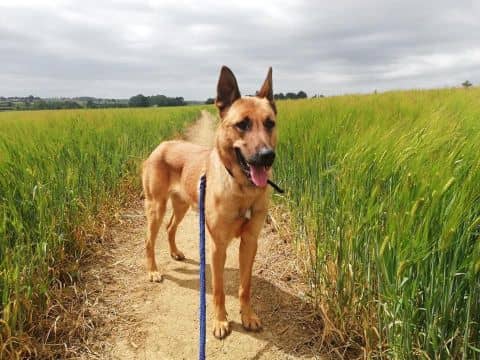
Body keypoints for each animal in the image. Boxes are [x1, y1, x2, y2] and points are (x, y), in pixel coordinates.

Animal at [141, 66, 278, 338]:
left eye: (270, 123)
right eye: (242, 124)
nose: (267, 156)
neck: (241, 189)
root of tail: (161, 145)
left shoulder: (250, 242)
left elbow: (245, 286)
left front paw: (247, 316)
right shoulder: (218, 246)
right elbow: (218, 289)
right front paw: (220, 321)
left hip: (182, 206)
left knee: (170, 228)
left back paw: (175, 252)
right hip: (156, 207)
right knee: (150, 241)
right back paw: (152, 271)